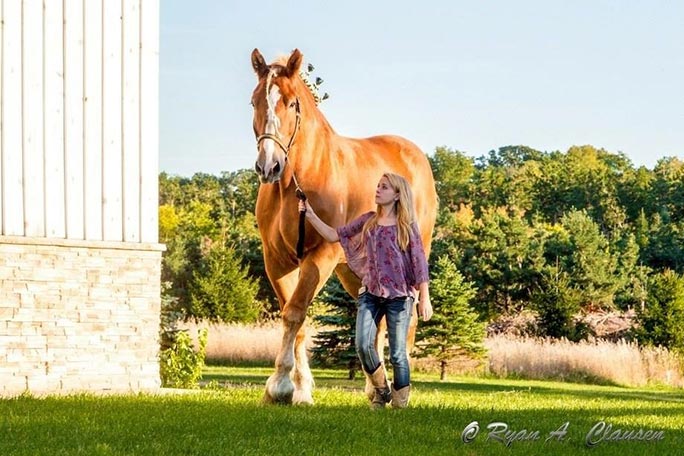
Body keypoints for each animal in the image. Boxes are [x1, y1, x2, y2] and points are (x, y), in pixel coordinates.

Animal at [250, 48, 437, 404]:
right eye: (254, 102)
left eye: (291, 103)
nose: (269, 166)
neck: (297, 182)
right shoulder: (276, 260)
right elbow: (295, 319)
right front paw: (299, 388)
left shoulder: (320, 255)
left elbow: (295, 312)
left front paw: (280, 385)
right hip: (356, 272)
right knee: (378, 320)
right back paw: (375, 387)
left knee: (406, 319)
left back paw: (400, 389)